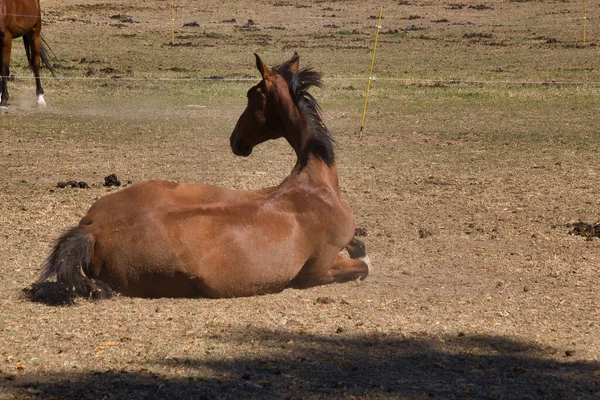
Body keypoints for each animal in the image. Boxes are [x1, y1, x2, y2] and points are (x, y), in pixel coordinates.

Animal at [35, 51, 370, 298]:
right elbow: (364, 265)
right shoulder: (319, 270)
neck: (313, 182)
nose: (236, 140)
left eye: (251, 95)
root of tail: (95, 231)